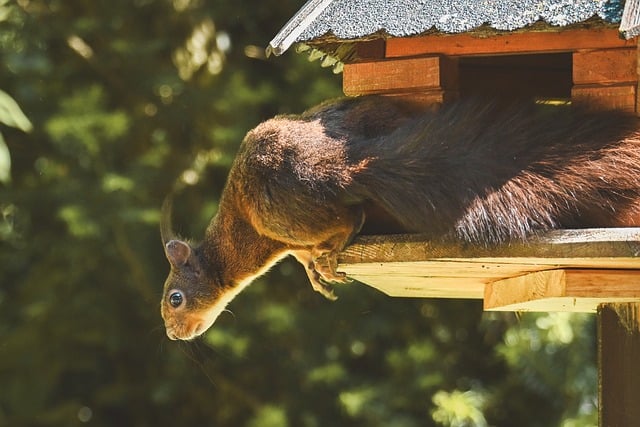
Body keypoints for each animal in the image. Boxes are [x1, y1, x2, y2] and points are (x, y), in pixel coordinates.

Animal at [160, 96, 640, 340]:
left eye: (175, 299)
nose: (173, 335)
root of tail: (342, 167)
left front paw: (318, 266)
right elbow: (301, 256)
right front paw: (313, 271)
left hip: (279, 213)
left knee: (348, 219)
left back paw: (335, 248)